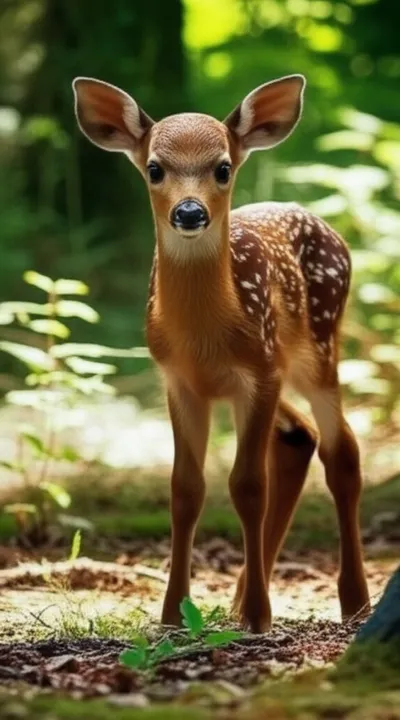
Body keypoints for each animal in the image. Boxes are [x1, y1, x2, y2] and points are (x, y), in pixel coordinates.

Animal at [72, 73, 370, 633]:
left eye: (223, 167)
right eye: (155, 168)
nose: (190, 212)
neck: (205, 337)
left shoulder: (260, 371)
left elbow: (248, 486)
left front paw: (257, 617)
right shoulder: (179, 381)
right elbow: (185, 490)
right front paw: (173, 614)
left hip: (318, 346)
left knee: (340, 451)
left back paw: (354, 602)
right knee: (299, 436)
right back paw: (238, 599)